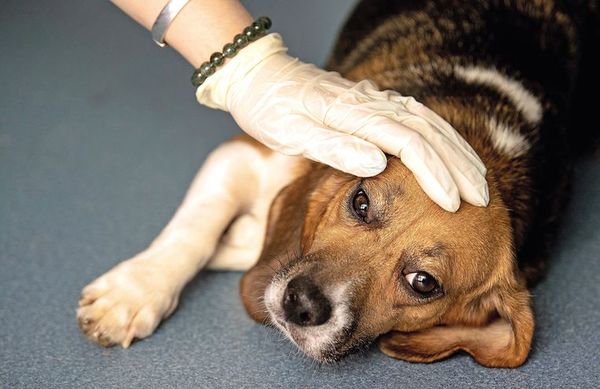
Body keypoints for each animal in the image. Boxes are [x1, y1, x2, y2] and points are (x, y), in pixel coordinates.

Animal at [77, 0, 596, 366]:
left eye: (423, 282)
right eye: (360, 202)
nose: (300, 303)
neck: (485, 147)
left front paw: (242, 241)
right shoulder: (246, 157)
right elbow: (195, 230)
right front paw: (133, 294)